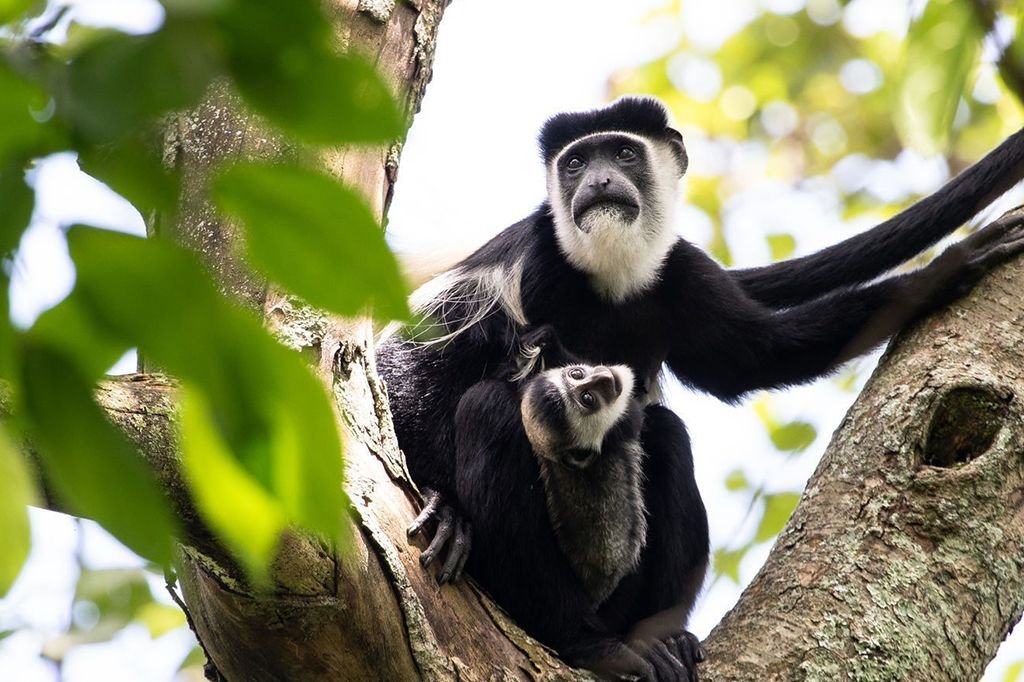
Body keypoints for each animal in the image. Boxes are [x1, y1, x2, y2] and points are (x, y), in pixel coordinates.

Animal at [379, 96, 1024, 678]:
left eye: (621, 152)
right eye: (575, 163)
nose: (599, 181)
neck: (609, 278)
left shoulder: (681, 273)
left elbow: (754, 357)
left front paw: (946, 270)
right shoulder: (528, 263)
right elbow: (409, 364)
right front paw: (444, 508)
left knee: (666, 434)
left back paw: (663, 641)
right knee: (486, 409)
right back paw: (581, 642)